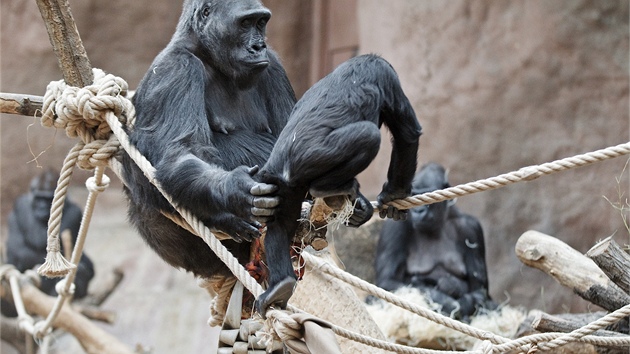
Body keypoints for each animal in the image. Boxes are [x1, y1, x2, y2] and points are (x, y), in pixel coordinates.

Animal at [2, 170, 95, 316]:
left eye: (47, 199)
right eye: (39, 198)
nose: (41, 208)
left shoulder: (75, 211)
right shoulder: (21, 204)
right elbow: (30, 245)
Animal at [256, 54, 424, 316]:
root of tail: (283, 168)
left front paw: (363, 208)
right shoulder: (386, 76)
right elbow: (407, 133)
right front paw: (395, 195)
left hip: (282, 187)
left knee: (280, 226)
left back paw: (280, 285)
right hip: (317, 156)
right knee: (369, 136)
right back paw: (329, 187)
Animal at [376, 163, 498, 320]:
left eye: (426, 196)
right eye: (415, 196)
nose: (418, 211)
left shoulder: (471, 228)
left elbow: (478, 289)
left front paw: (460, 298)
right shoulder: (394, 227)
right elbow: (388, 281)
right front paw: (450, 302)